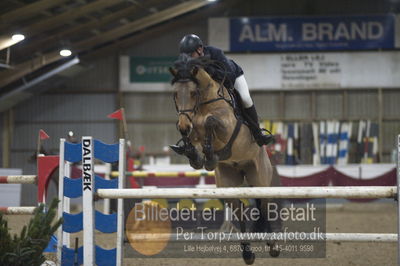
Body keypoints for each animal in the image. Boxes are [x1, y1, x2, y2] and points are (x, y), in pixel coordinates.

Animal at [170, 55, 282, 264]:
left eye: (193, 92)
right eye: (175, 94)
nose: (183, 126)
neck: (204, 103)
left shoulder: (228, 128)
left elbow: (210, 121)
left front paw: (209, 152)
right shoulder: (193, 128)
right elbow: (195, 141)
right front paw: (195, 154)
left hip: (260, 178)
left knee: (265, 206)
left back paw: (273, 246)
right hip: (228, 183)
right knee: (240, 211)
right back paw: (247, 253)